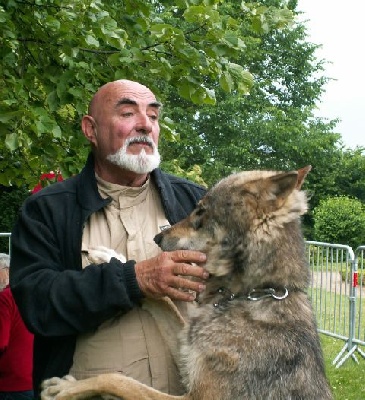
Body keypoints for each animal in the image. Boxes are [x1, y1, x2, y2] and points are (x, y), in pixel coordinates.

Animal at [41, 166, 332, 400]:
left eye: (201, 211)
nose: (157, 238)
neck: (252, 294)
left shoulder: (195, 396)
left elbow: (117, 379)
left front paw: (65, 389)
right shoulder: (186, 351)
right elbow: (161, 299)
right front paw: (115, 260)